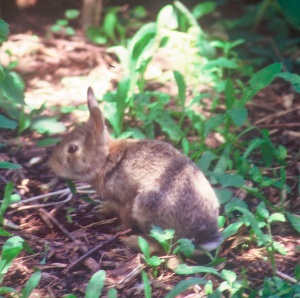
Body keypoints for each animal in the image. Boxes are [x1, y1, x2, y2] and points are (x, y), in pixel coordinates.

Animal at [48, 86, 223, 251]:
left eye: (72, 149)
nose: (52, 166)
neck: (105, 159)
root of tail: (204, 235)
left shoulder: (126, 201)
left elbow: (126, 220)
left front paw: (118, 230)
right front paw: (102, 208)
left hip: (148, 210)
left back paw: (132, 241)